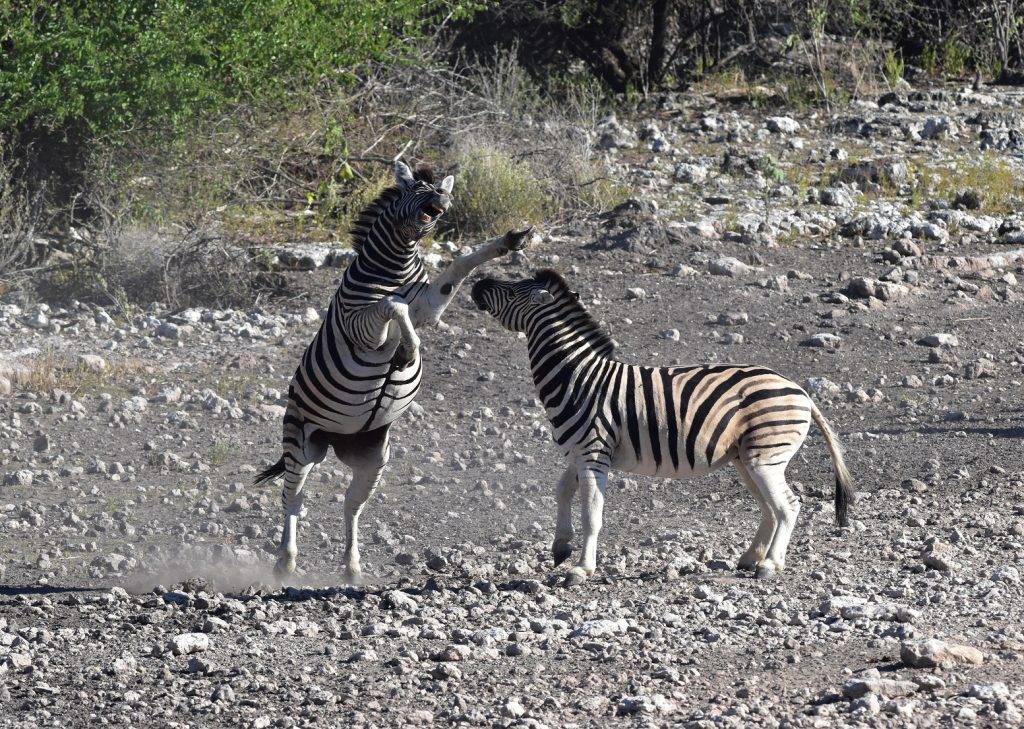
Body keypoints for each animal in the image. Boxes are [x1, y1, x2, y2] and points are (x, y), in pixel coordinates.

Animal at [256, 159, 532, 581]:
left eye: (441, 189)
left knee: (351, 503)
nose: (443, 201)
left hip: (372, 456)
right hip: (300, 443)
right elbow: (392, 305)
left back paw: (352, 566)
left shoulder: (430, 305)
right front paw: (405, 351)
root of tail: (337, 440)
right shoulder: (362, 323)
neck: (395, 268)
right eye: (416, 190)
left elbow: (458, 264)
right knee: (293, 498)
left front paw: (511, 239)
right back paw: (285, 562)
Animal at [473, 270, 856, 585]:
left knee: (788, 505)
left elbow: (592, 513)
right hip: (746, 458)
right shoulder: (578, 452)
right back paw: (750, 558)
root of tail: (800, 390)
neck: (578, 377)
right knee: (770, 507)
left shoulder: (594, 452)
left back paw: (770, 565)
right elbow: (562, 490)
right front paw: (560, 546)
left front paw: (581, 569)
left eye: (512, 289)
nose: (478, 282)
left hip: (765, 456)